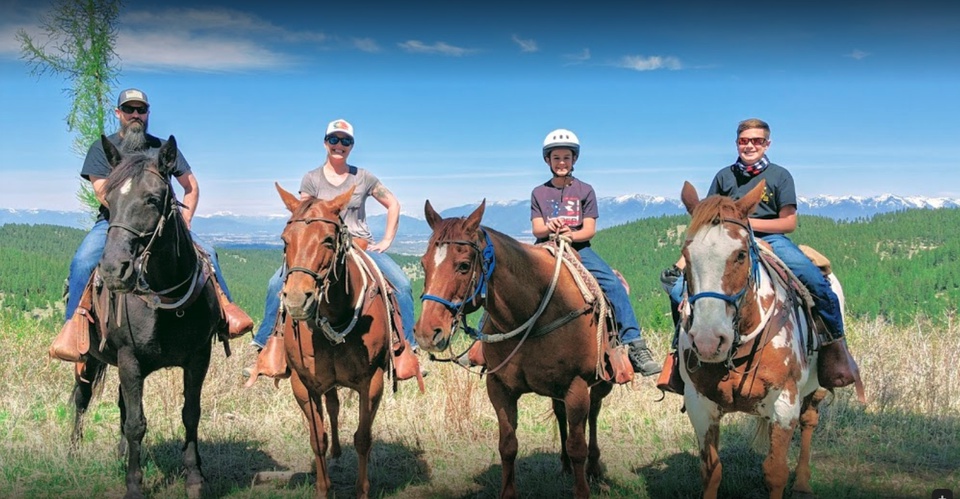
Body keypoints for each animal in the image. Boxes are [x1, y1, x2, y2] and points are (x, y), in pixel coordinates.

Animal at [71, 136, 223, 499]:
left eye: (153, 199)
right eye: (108, 200)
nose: (113, 269)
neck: (164, 297)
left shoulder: (199, 357)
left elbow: (190, 415)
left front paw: (194, 479)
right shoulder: (130, 359)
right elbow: (136, 424)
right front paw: (134, 485)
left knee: (119, 403)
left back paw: (119, 452)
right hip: (88, 358)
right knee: (81, 399)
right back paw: (72, 454)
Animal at [274, 185, 408, 499]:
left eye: (328, 239)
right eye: (285, 240)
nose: (296, 300)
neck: (335, 317)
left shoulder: (371, 382)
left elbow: (363, 438)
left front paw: (362, 490)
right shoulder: (303, 385)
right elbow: (318, 438)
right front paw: (324, 488)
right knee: (332, 407)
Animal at [414, 200, 612, 499]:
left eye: (463, 266)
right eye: (424, 264)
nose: (427, 332)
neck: (530, 311)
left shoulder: (576, 385)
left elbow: (579, 445)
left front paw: (582, 487)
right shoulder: (499, 387)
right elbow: (507, 445)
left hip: (601, 381)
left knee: (595, 413)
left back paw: (595, 467)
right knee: (560, 412)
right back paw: (564, 465)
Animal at [676, 180, 832, 499]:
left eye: (740, 255)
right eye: (686, 254)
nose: (708, 341)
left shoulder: (785, 405)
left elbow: (775, 472)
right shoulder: (699, 405)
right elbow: (711, 471)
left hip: (817, 388)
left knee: (809, 422)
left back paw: (803, 482)